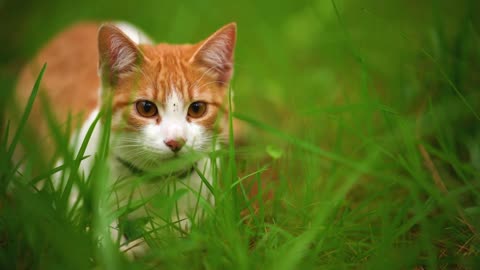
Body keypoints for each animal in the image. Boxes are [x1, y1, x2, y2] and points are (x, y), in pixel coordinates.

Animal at [15, 21, 237, 255]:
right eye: (146, 108)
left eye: (197, 109)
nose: (175, 141)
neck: (152, 179)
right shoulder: (67, 176)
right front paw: (113, 246)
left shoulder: (207, 202)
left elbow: (178, 227)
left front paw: (144, 243)